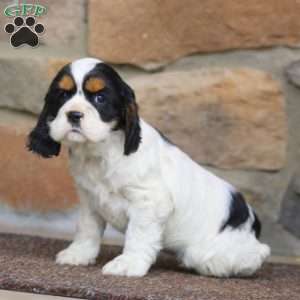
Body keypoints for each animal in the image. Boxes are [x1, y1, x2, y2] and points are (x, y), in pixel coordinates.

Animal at [27, 57, 270, 278]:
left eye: (100, 98)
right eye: (63, 95)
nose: (73, 114)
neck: (102, 151)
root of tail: (253, 220)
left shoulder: (149, 201)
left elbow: (138, 235)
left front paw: (128, 264)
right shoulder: (89, 199)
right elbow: (87, 229)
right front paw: (78, 254)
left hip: (208, 251)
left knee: (254, 254)